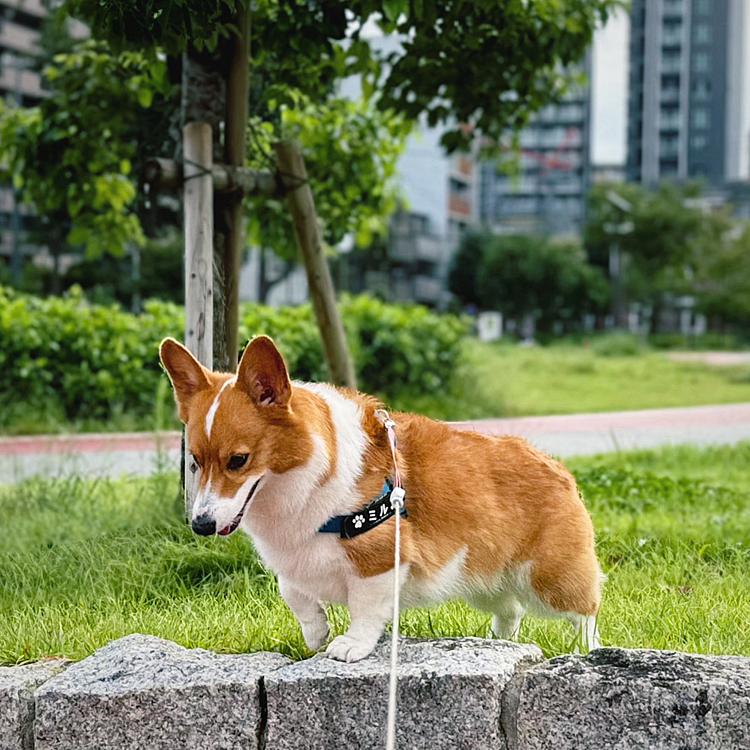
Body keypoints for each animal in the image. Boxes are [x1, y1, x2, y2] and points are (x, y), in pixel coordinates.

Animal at [160, 336, 604, 664]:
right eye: (195, 462)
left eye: (238, 460)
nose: (200, 525)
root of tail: (556, 466)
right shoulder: (293, 559)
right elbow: (293, 591)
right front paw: (315, 631)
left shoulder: (379, 561)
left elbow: (365, 608)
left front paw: (351, 644)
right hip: (480, 578)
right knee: (510, 609)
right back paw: (499, 643)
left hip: (548, 580)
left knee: (584, 613)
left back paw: (588, 651)